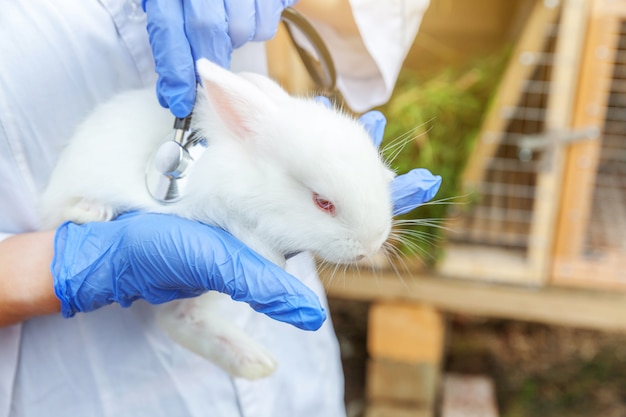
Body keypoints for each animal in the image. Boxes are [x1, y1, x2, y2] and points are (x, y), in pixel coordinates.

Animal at [39, 57, 392, 378]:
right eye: (323, 202)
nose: (370, 247)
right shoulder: (219, 204)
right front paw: (271, 260)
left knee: (178, 318)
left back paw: (255, 363)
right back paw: (91, 210)